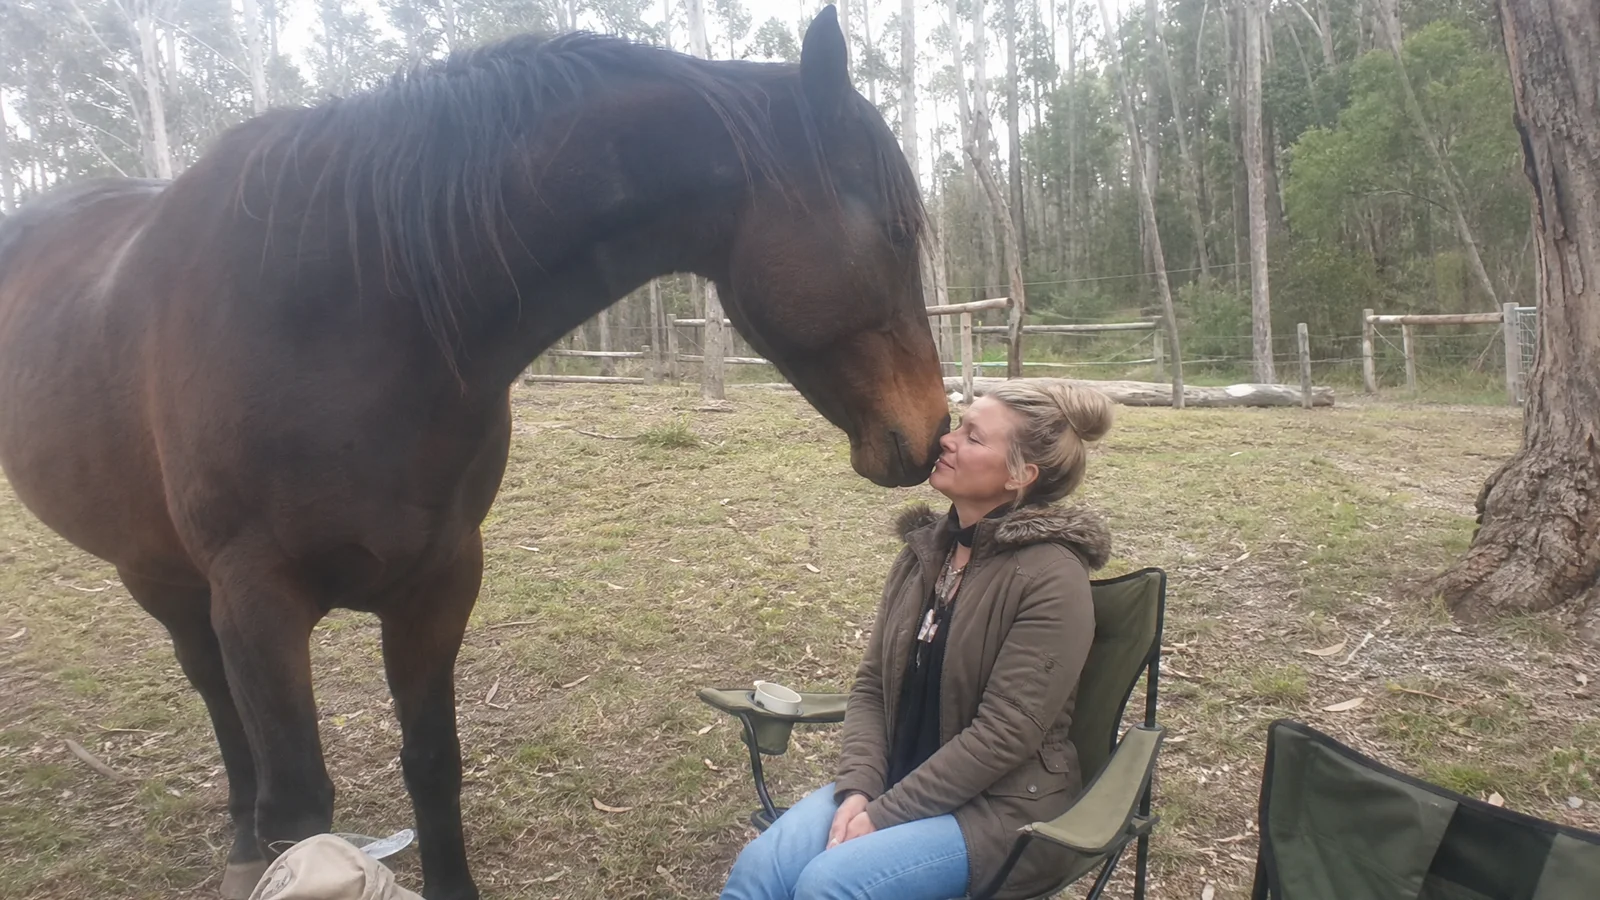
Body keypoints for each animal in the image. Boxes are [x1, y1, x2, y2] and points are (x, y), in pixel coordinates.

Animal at [0, 8, 948, 899]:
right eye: (897, 229)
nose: (935, 430)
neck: (357, 307)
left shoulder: (440, 579)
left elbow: (433, 763)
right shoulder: (258, 599)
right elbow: (302, 811)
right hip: (160, 574)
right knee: (216, 700)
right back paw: (238, 845)